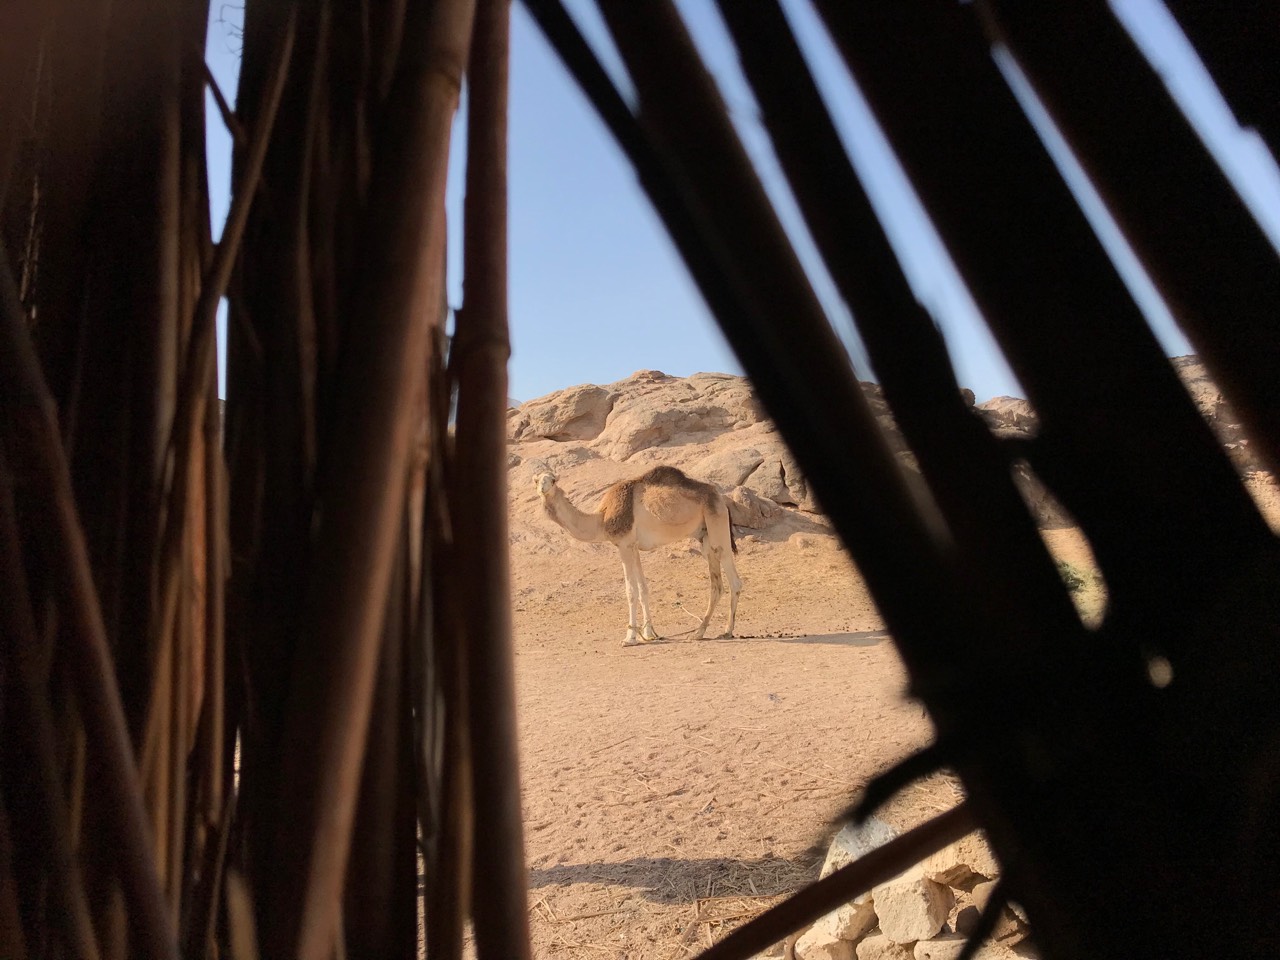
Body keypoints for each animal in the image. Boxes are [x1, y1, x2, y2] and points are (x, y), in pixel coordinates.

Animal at [537, 465, 742, 647]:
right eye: (536, 479)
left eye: (552, 480)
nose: (542, 488)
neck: (602, 519)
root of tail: (722, 500)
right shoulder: (633, 546)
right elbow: (643, 589)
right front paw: (649, 633)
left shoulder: (624, 544)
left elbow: (631, 591)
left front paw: (630, 638)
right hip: (705, 537)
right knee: (719, 583)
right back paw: (705, 632)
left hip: (717, 528)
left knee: (731, 581)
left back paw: (720, 631)